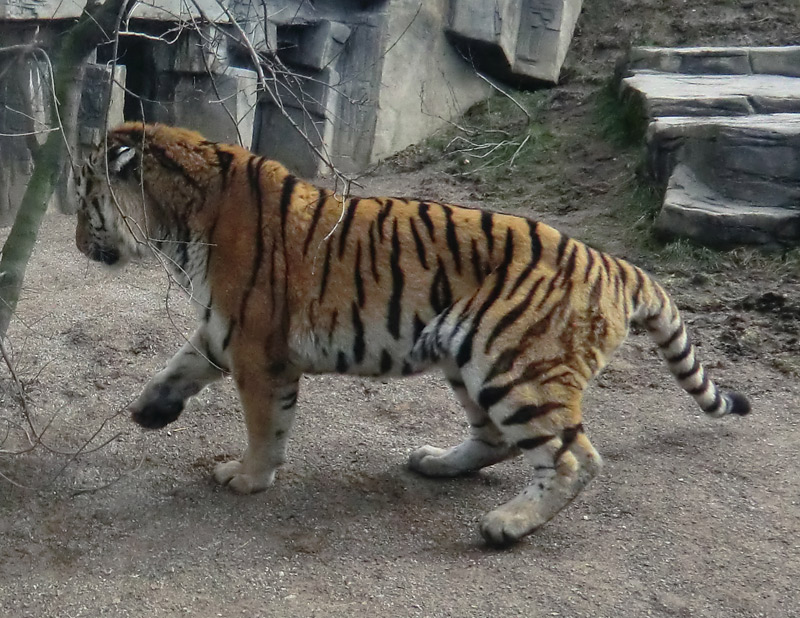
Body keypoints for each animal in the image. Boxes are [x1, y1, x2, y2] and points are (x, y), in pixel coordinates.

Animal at [75, 121, 752, 544]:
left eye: (83, 201)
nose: (79, 244)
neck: (176, 217)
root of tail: (614, 263)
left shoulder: (255, 345)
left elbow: (264, 426)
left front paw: (247, 478)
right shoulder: (225, 329)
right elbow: (177, 365)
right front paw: (148, 410)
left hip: (510, 362)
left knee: (572, 457)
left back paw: (506, 525)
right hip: (466, 355)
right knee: (495, 440)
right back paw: (436, 462)